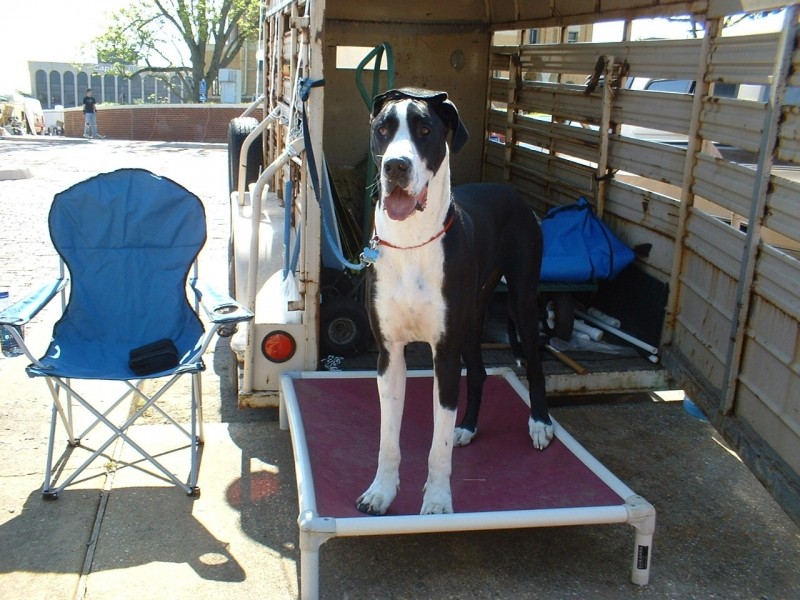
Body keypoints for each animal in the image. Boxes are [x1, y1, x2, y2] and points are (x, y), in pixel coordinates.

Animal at [356, 88, 552, 516]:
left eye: (425, 130)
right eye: (383, 130)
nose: (396, 166)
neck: (412, 241)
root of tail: (508, 189)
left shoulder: (443, 354)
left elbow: (438, 447)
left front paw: (437, 500)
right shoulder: (389, 354)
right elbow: (387, 438)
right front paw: (381, 490)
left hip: (521, 299)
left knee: (535, 361)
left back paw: (541, 422)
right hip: (473, 317)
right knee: (477, 372)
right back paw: (468, 426)